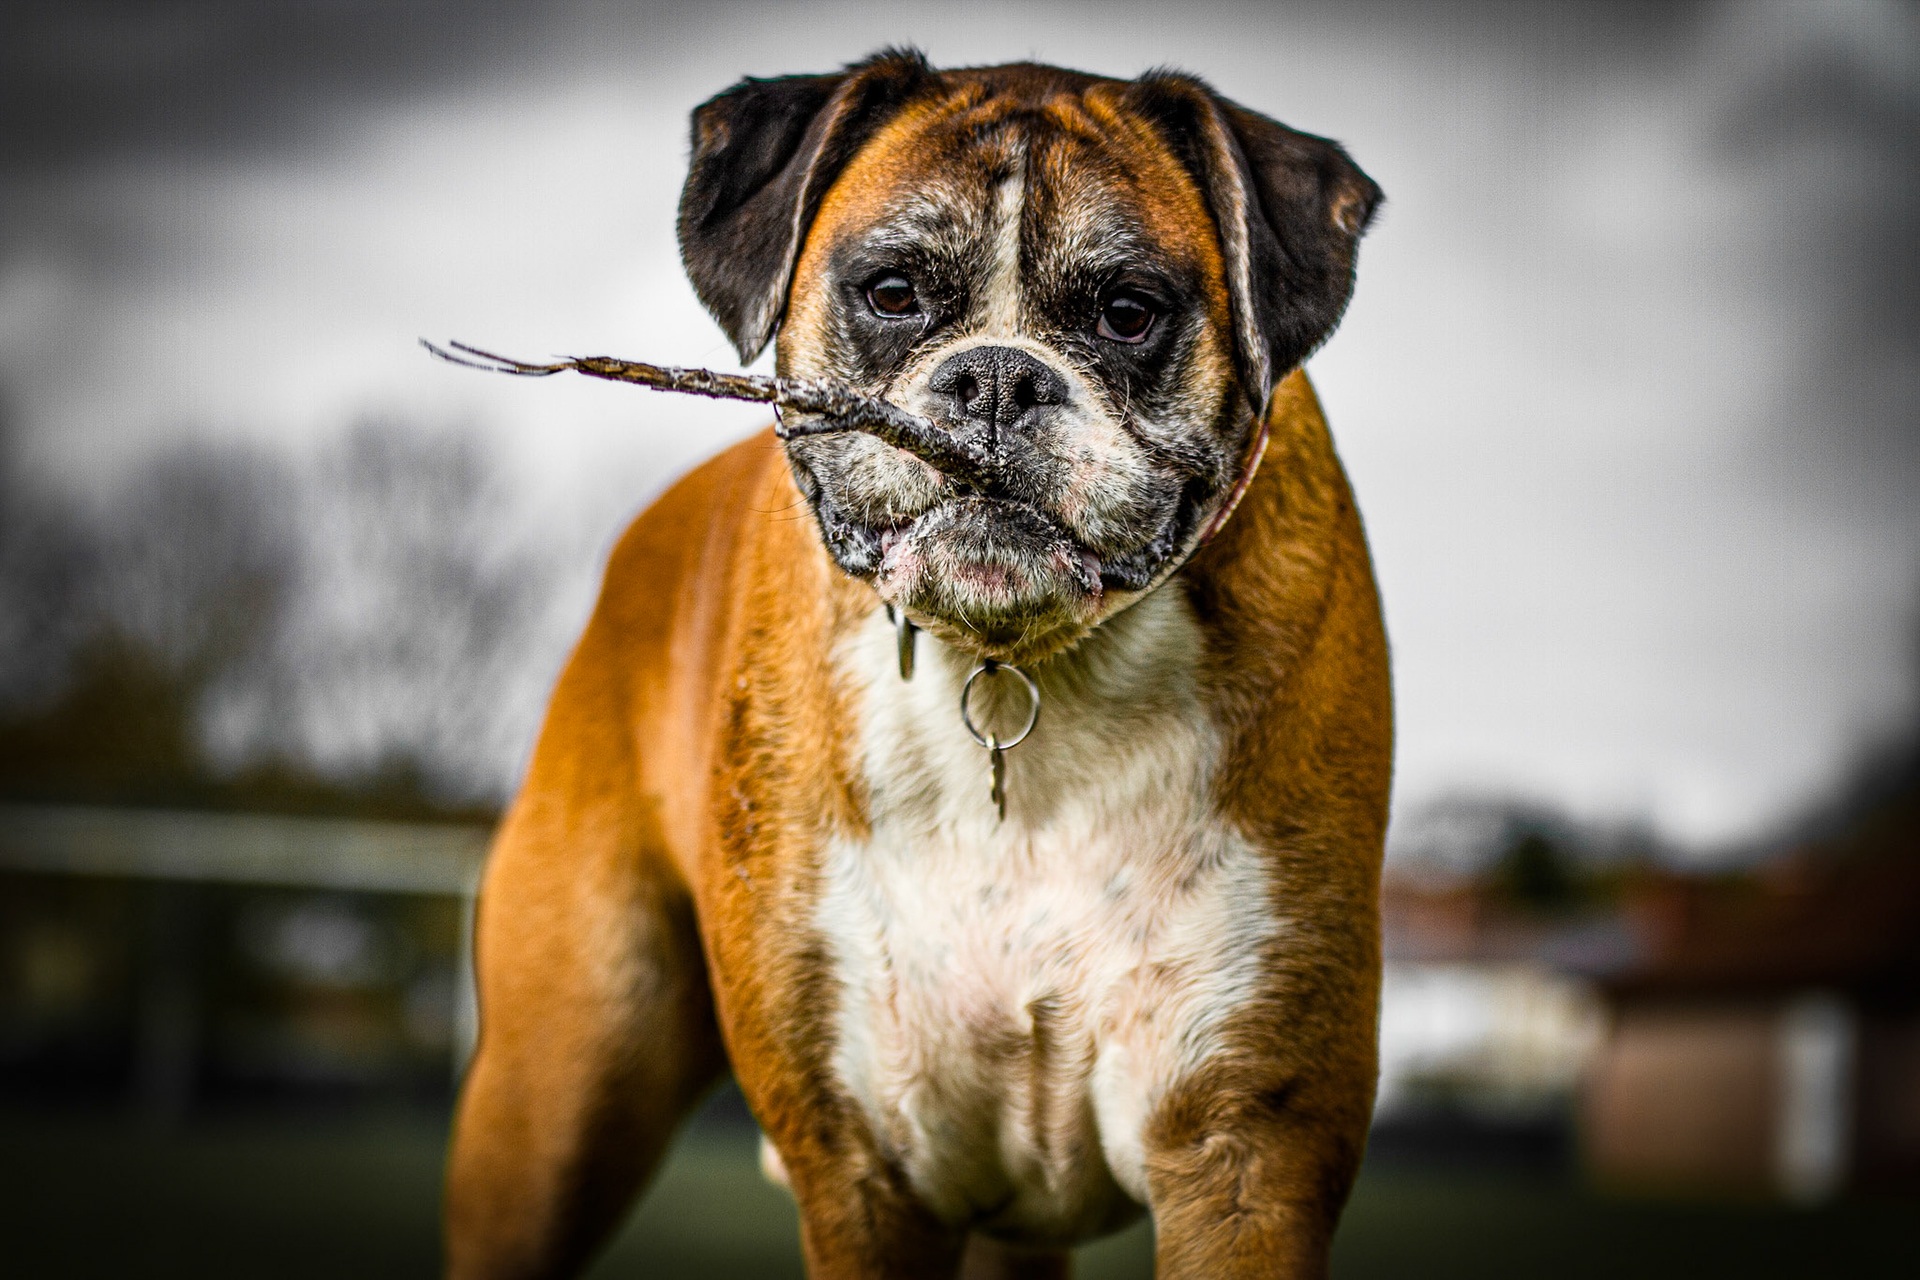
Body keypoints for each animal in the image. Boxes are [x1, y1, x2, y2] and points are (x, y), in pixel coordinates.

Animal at [445, 50, 1390, 1280]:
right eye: (892, 293)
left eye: (1129, 313)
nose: (996, 379)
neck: (1012, 666)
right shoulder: (868, 1176)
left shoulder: (1247, 1161)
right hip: (549, 1114)